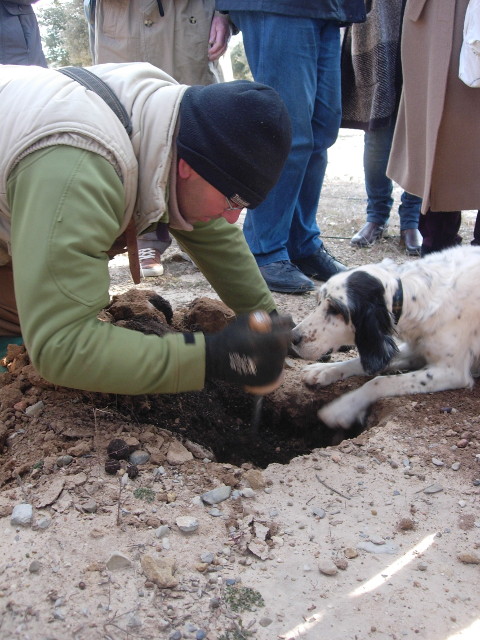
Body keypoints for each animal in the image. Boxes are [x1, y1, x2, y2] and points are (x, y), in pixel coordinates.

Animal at [290, 245, 480, 430]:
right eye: (318, 302)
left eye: (335, 309)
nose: (293, 337)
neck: (410, 296)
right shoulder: (416, 349)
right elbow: (360, 362)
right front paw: (323, 370)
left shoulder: (452, 371)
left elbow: (379, 381)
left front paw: (342, 408)